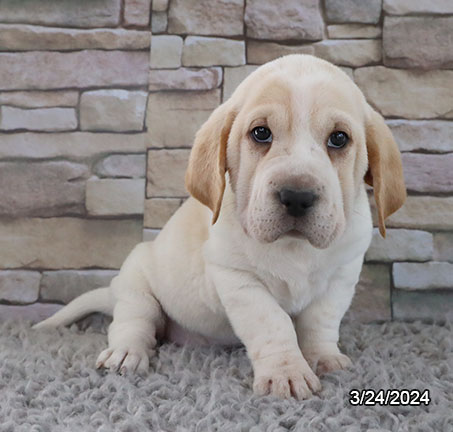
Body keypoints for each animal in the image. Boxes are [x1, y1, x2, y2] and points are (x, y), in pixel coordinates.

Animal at [33, 55, 404, 400]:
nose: (297, 197)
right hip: (136, 285)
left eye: (339, 139)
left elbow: (320, 322)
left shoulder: (342, 275)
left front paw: (324, 358)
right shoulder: (239, 280)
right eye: (260, 133)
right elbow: (274, 324)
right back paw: (126, 353)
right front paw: (287, 373)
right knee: (132, 323)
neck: (293, 247)